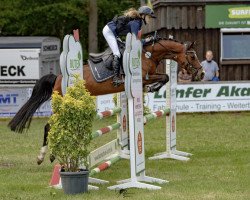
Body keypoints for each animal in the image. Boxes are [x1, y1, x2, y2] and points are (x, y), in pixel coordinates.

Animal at [7, 37, 204, 164]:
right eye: (192, 56)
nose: (201, 74)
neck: (147, 54)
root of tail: (58, 77)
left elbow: (165, 77)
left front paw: (151, 91)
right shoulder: (143, 77)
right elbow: (164, 77)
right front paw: (151, 88)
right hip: (62, 105)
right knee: (49, 127)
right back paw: (45, 156)